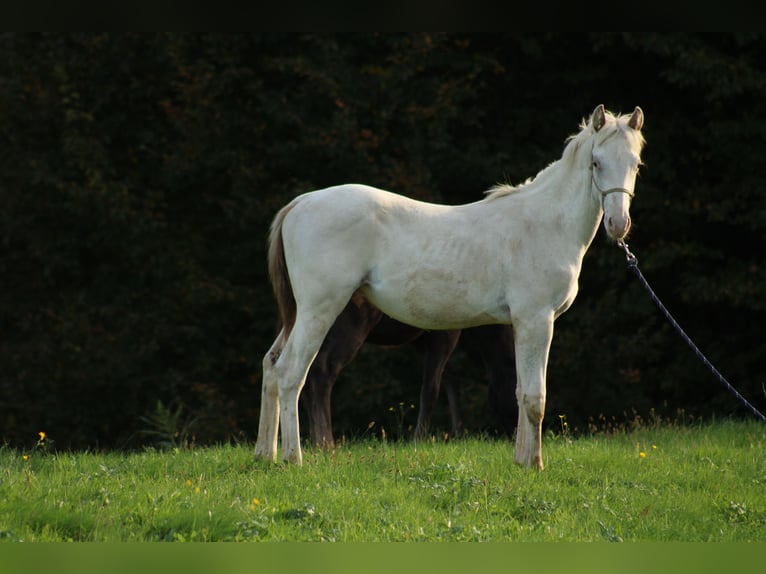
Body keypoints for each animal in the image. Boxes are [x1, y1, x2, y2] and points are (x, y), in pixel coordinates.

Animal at [300, 296, 516, 450]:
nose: (514, 436)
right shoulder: (445, 331)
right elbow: (431, 389)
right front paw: (419, 439)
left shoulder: (420, 336)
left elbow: (450, 377)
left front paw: (458, 433)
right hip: (349, 324)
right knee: (321, 370)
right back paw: (325, 442)